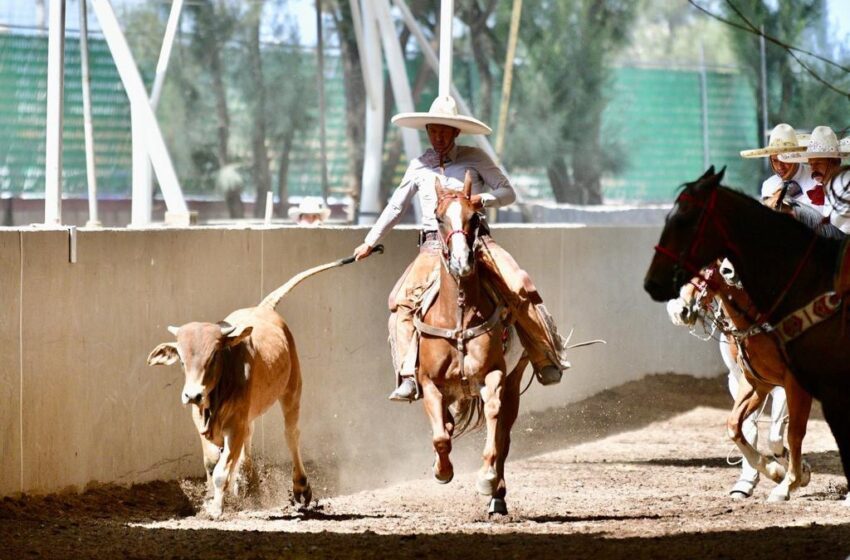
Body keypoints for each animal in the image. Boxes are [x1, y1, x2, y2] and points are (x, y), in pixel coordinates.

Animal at [668, 264, 808, 504]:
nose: (680, 311)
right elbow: (736, 425)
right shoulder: (752, 382)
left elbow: (788, 434)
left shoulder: (791, 384)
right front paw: (774, 471)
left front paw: (789, 482)